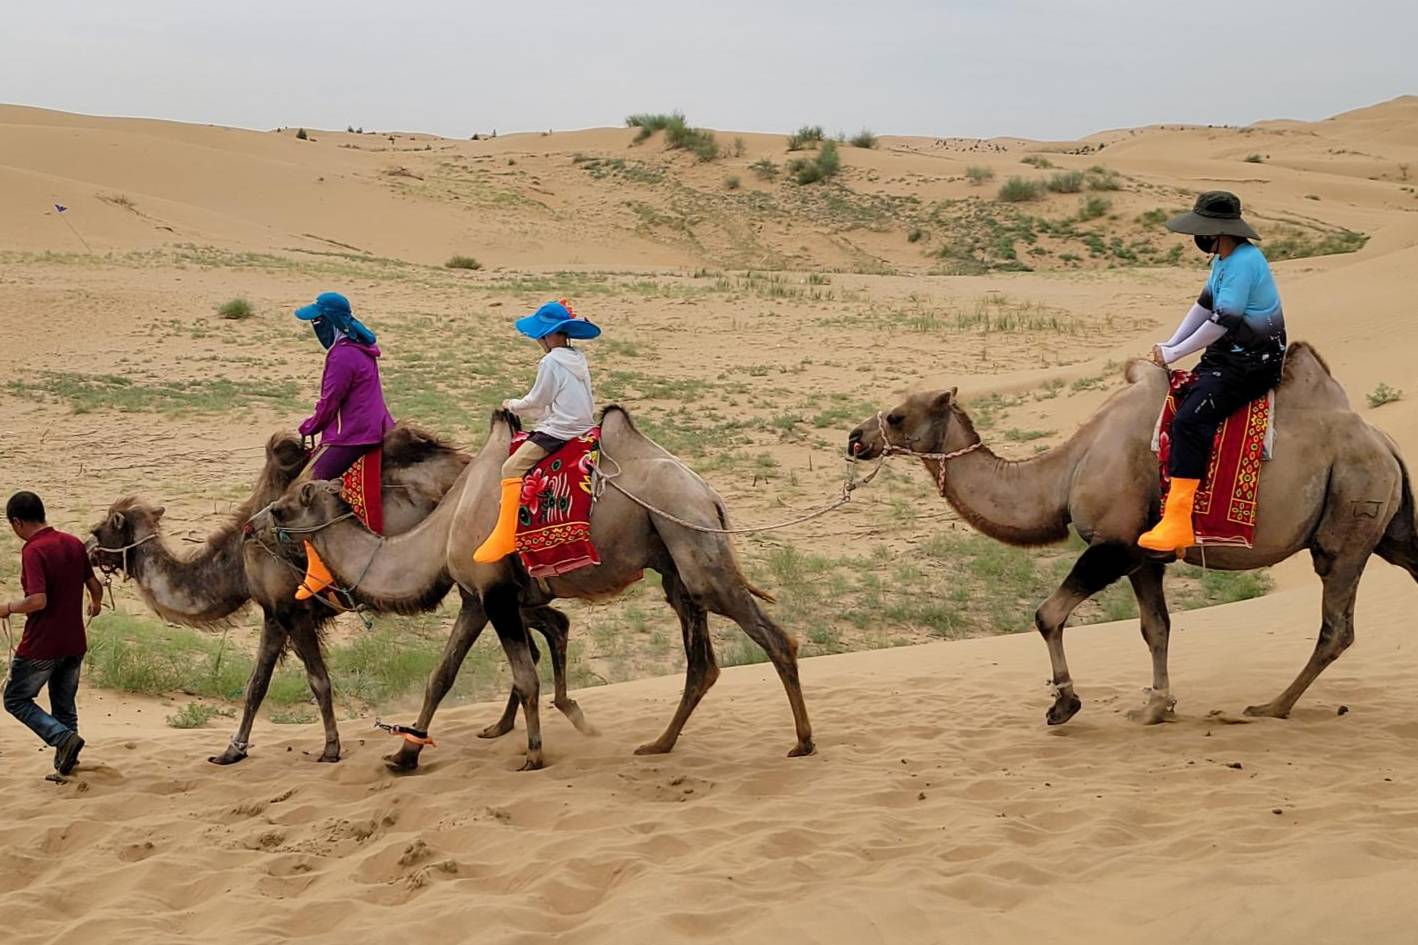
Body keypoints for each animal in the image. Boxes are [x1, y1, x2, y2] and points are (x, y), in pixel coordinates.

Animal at [88, 425, 587, 766]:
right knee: (548, 627)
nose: (89, 550)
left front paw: (330, 748)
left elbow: (318, 681)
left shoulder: (292, 609)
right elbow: (256, 685)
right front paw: (232, 751)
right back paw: (507, 725)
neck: (236, 560)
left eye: (102, 528)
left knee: (540, 630)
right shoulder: (273, 613)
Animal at [249, 402, 816, 766]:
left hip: (694, 545)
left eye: (282, 507)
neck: (444, 525)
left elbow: (524, 677)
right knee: (702, 664)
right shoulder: (475, 597)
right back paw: (660, 744)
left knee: (773, 638)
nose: (252, 528)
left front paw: (534, 754)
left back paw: (803, 741)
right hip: (675, 559)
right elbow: (442, 675)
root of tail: (710, 495)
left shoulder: (496, 593)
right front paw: (404, 754)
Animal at [845, 344, 1412, 720]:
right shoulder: (1143, 556)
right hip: (1390, 524)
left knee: (1336, 626)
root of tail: (1385, 443)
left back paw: (1271, 706)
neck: (1065, 472)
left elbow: (1047, 614)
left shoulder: (1112, 543)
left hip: (1350, 514)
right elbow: (1154, 627)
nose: (855, 438)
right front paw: (1157, 706)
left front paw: (1065, 702)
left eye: (896, 416)